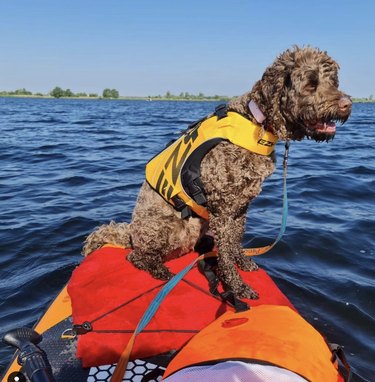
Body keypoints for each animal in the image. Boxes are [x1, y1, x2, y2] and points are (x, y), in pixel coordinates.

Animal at [82, 46, 352, 298]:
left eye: (333, 82)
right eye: (311, 83)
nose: (348, 104)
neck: (257, 121)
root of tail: (130, 233)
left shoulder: (241, 207)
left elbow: (234, 242)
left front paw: (242, 261)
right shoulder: (223, 209)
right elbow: (225, 253)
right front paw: (237, 287)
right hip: (165, 229)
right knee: (136, 256)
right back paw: (159, 269)